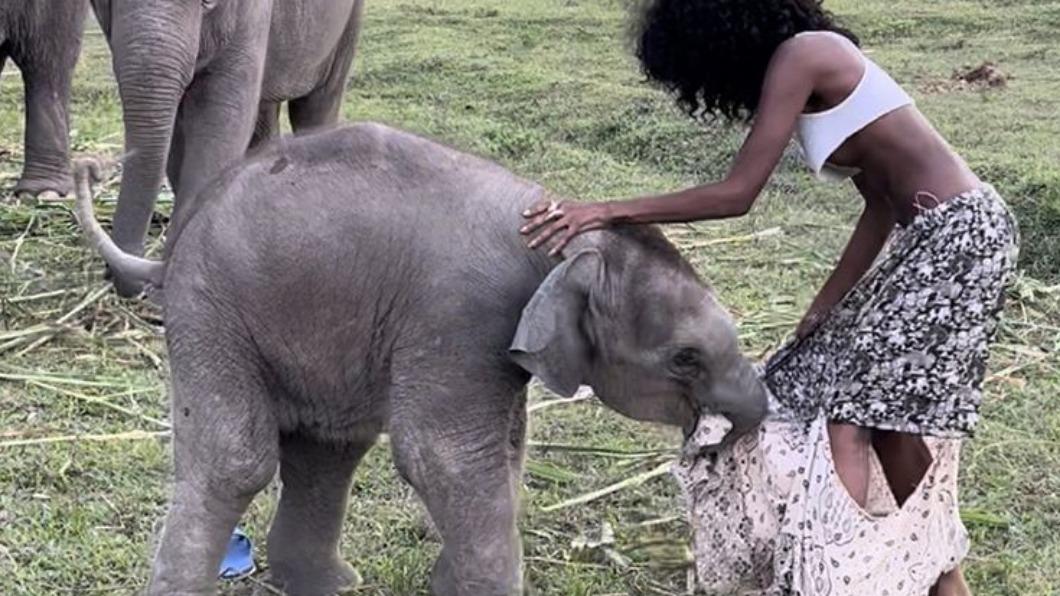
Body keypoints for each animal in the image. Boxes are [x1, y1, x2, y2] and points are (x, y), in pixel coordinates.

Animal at [73, 123, 769, 595]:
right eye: (685, 358)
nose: (721, 437)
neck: (555, 238)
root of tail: (171, 246)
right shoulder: (459, 316)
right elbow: (444, 459)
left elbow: (506, 450)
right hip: (211, 308)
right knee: (236, 457)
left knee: (330, 448)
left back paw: (331, 585)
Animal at [90, 0, 365, 294]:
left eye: (208, 2)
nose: (110, 274)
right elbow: (178, 135)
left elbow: (221, 119)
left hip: (348, 24)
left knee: (318, 101)